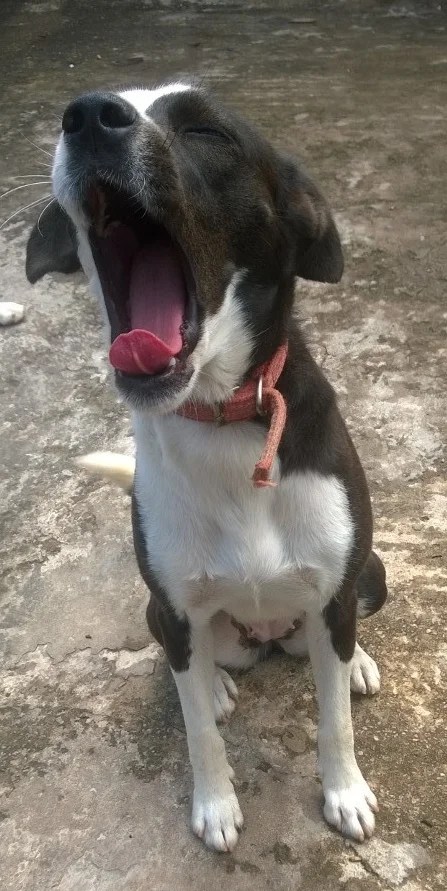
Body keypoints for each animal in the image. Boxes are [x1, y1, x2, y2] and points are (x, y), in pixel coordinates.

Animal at [26, 81, 387, 853]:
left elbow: (335, 720)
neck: (227, 417)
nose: (88, 116)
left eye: (205, 132)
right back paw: (218, 683)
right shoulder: (174, 605)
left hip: (368, 576)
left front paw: (344, 791)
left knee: (335, 647)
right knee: (188, 662)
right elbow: (197, 733)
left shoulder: (336, 590)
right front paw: (216, 804)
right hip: (165, 614)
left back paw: (356, 663)